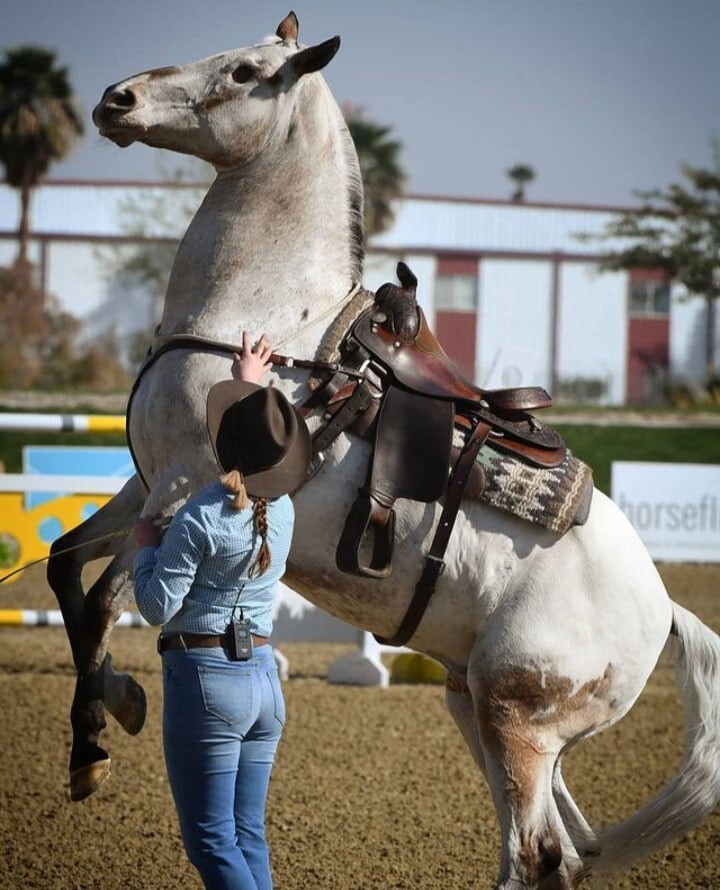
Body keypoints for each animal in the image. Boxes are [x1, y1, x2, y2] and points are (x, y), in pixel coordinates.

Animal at [49, 13, 720, 888]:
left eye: (244, 71)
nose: (116, 100)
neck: (262, 324)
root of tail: (663, 609)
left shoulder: (186, 483)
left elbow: (103, 600)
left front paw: (96, 744)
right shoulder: (146, 480)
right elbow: (64, 568)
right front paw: (114, 712)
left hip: (518, 720)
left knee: (539, 851)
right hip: (478, 707)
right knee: (566, 854)